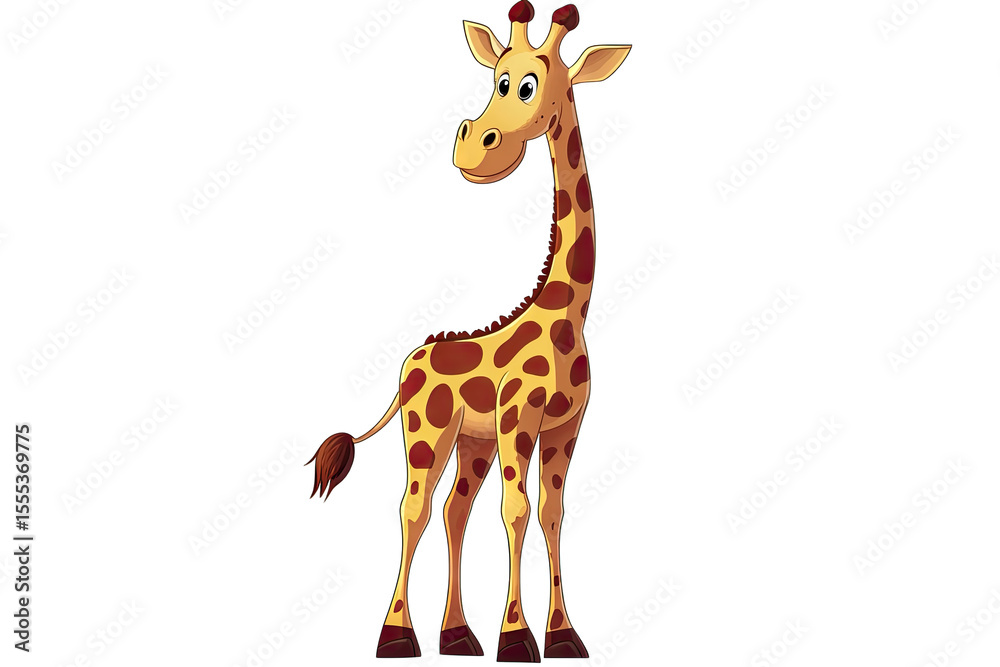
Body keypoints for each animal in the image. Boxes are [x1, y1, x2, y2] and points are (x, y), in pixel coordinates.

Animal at [308, 2, 629, 661]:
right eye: (497, 79)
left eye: (527, 84)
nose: (474, 150)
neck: (569, 313)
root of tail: (410, 361)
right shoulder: (519, 416)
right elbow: (518, 510)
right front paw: (518, 637)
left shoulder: (565, 424)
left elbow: (552, 511)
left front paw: (563, 635)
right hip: (426, 433)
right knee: (413, 508)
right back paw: (397, 634)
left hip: (471, 442)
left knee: (455, 510)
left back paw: (456, 634)